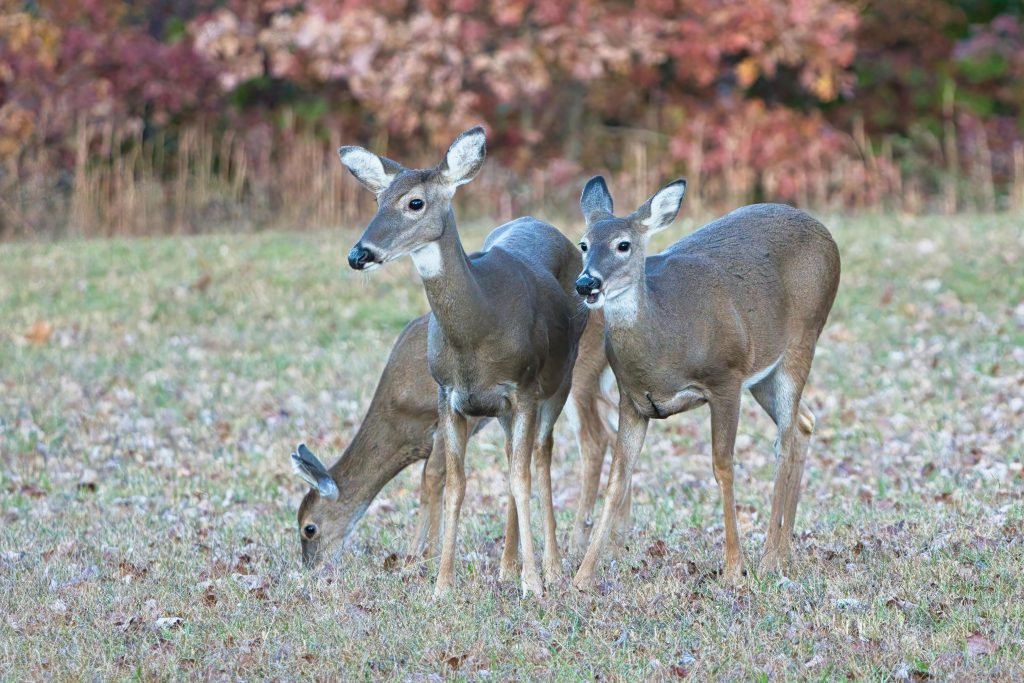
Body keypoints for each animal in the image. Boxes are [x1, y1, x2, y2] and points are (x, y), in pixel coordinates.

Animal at [288, 313, 614, 569]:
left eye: (309, 528)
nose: (312, 567)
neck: (400, 414)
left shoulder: (457, 415)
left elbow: (432, 476)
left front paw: (424, 555)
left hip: (578, 377)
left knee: (595, 441)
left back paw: (578, 541)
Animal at [337, 125, 589, 593]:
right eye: (377, 201)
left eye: (415, 202)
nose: (358, 254)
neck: (478, 332)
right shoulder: (449, 396)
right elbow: (455, 484)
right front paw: (442, 583)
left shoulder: (523, 389)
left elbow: (523, 478)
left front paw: (533, 583)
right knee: (512, 456)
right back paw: (506, 565)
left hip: (559, 379)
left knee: (540, 458)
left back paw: (551, 566)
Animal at [569, 176, 839, 589]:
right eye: (583, 244)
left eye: (623, 244)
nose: (586, 283)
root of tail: (825, 232)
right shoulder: (632, 400)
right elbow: (618, 477)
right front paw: (583, 576)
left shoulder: (725, 378)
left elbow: (722, 467)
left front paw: (733, 568)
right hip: (764, 371)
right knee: (804, 423)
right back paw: (785, 552)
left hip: (803, 337)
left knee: (786, 440)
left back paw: (768, 558)